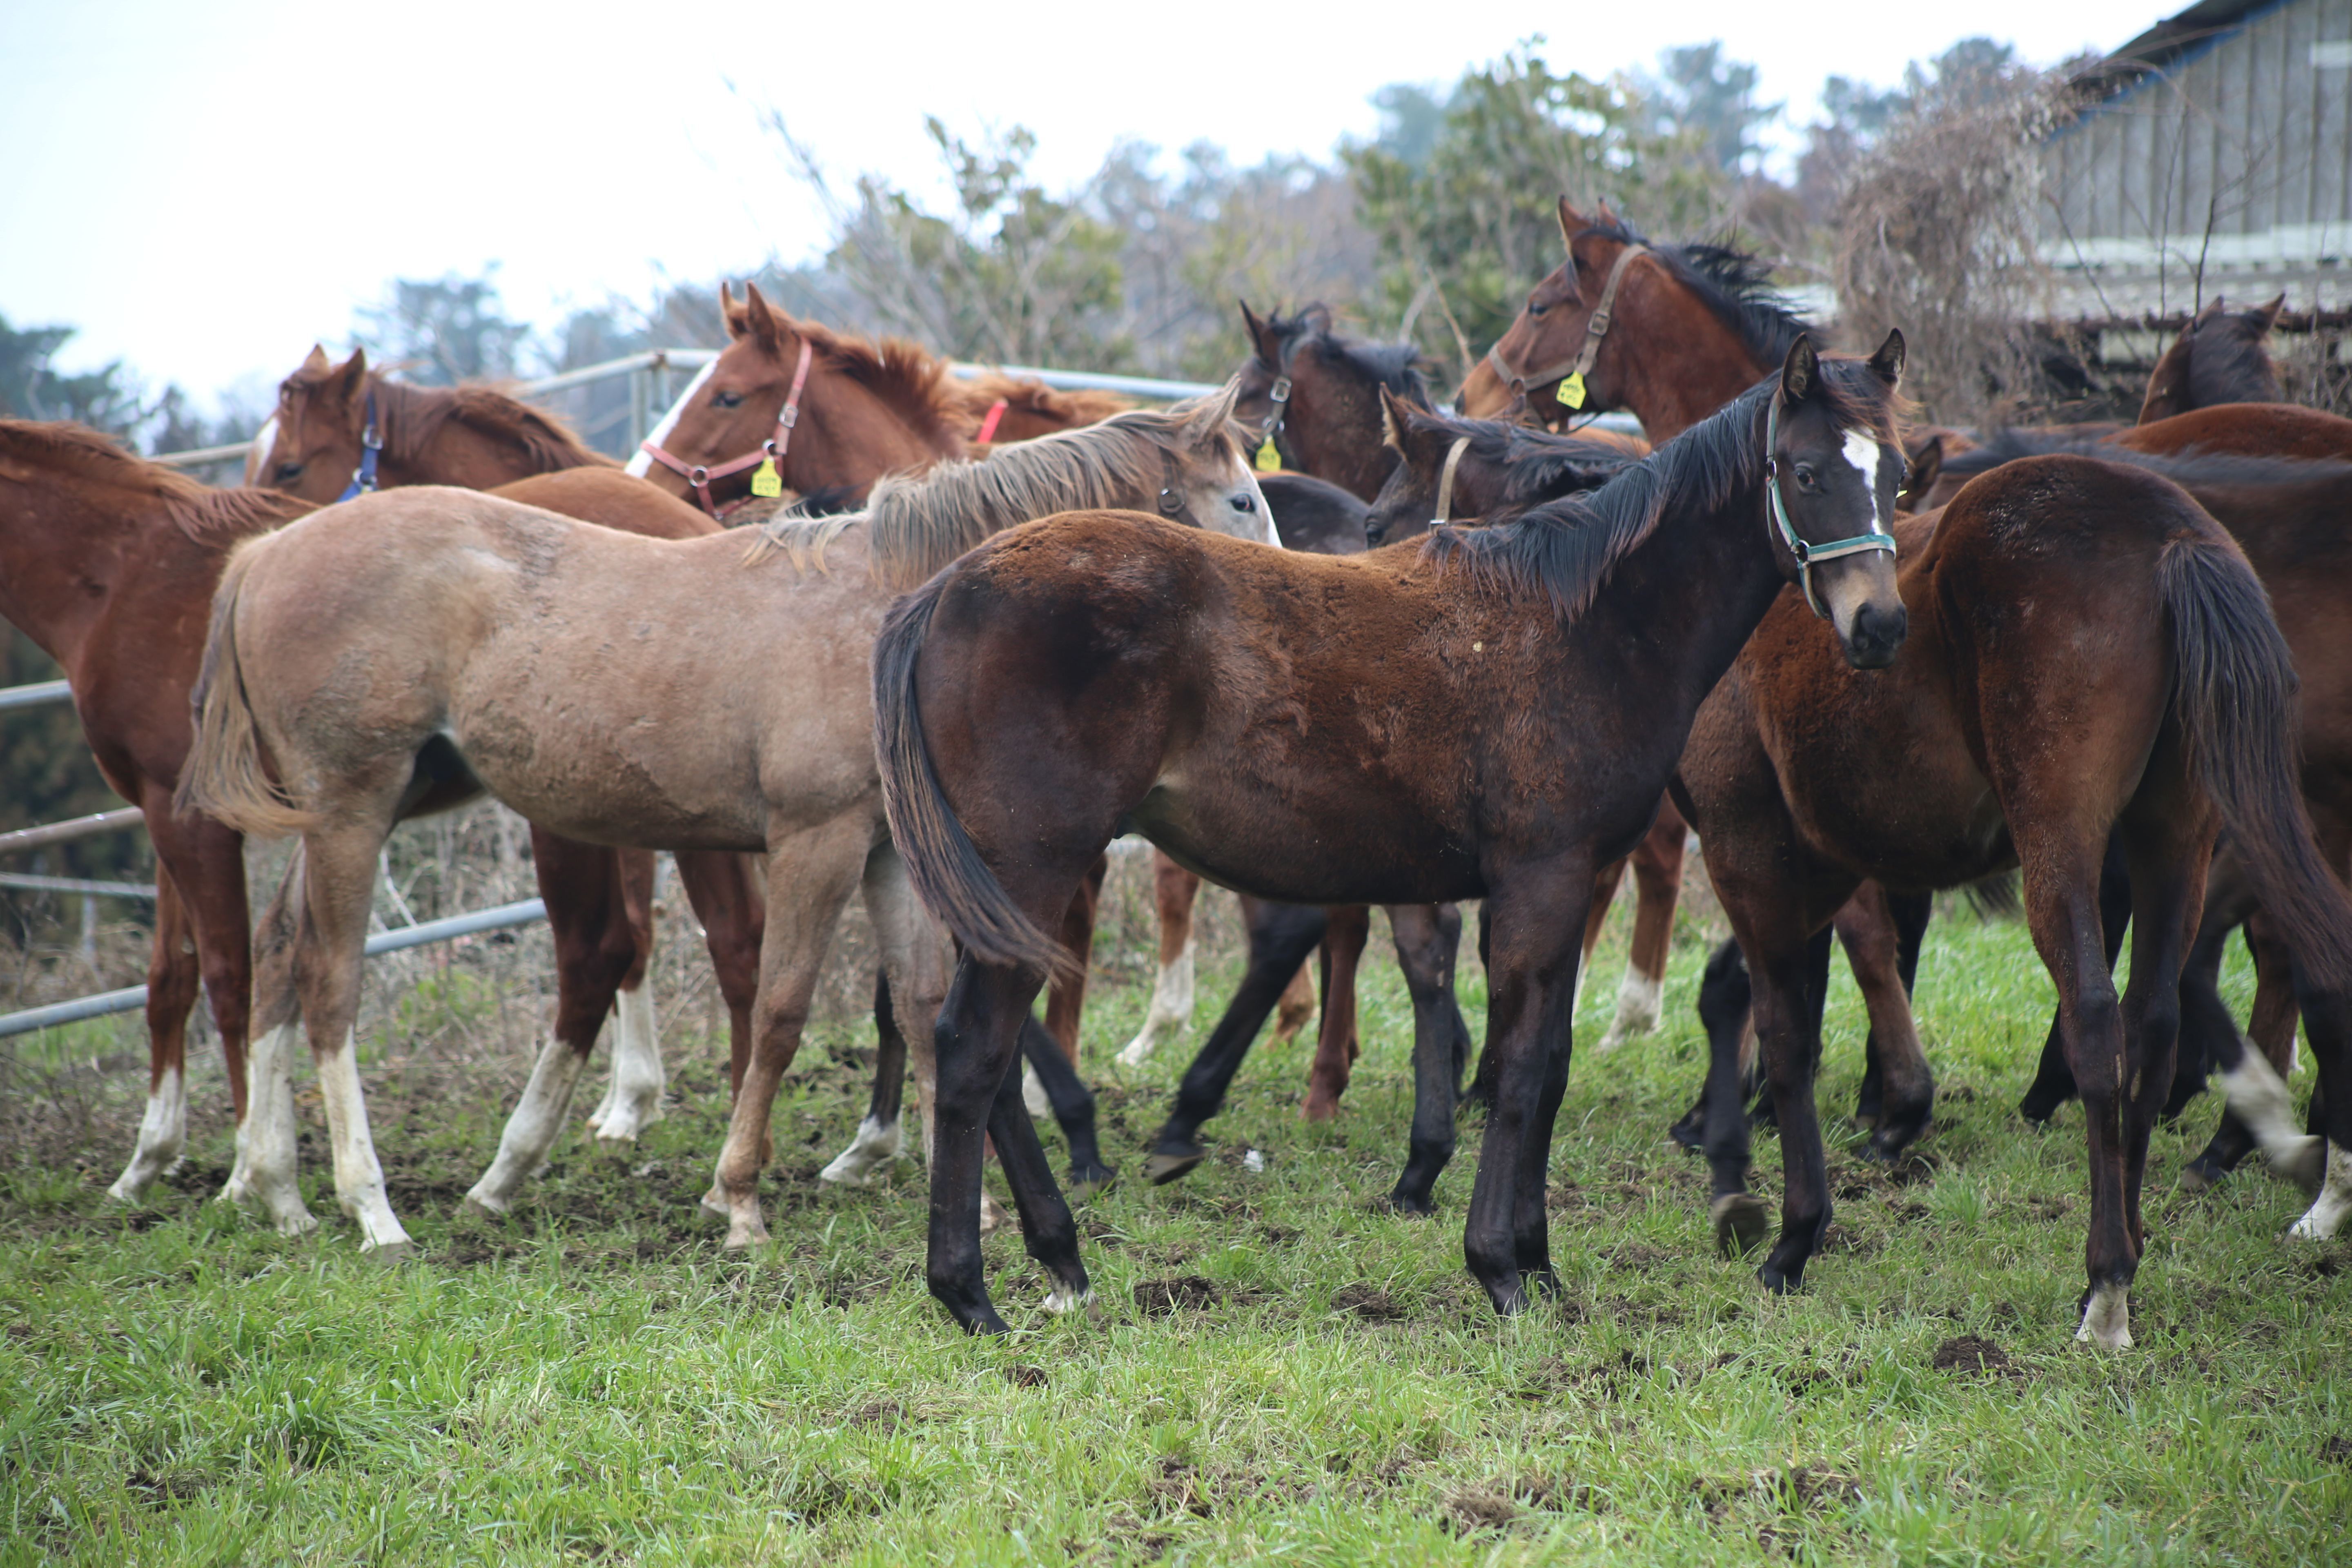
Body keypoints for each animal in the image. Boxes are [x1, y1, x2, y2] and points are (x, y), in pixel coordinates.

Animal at [0, 416, 313, 1203]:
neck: (123, 579)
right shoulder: (163, 807)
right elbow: (172, 976)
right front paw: (147, 1163)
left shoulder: (195, 817)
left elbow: (232, 978)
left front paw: (245, 1174)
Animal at [183, 395, 1279, 1260]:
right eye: (1240, 500)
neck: (885, 606)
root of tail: (265, 553)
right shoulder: (814, 844)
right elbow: (784, 1010)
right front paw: (740, 1199)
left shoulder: (890, 856)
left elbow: (921, 1007)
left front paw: (959, 1200)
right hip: (351, 811)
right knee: (329, 983)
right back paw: (370, 1209)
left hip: (362, 809)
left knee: (278, 958)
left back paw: (278, 1191)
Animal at [875, 339, 1900, 1335]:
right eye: (1806, 470)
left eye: (1892, 476)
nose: (1879, 624)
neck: (1587, 620)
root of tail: (941, 589)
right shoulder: (1539, 880)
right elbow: (1519, 1071)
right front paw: (1499, 1270)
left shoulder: (1572, 883)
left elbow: (1550, 1064)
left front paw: (1538, 1261)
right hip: (1032, 868)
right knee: (973, 1049)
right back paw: (969, 1292)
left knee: (988, 1051)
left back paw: (1059, 1261)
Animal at [1675, 454, 2352, 1354]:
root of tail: (2170, 532)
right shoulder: (1814, 869)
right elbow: (1765, 1000)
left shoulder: (1746, 854)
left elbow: (1788, 1036)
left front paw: (1792, 1234)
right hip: (2176, 835)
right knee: (2156, 1020)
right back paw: (2132, 1240)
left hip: (2061, 840)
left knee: (2098, 1020)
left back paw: (2107, 1287)